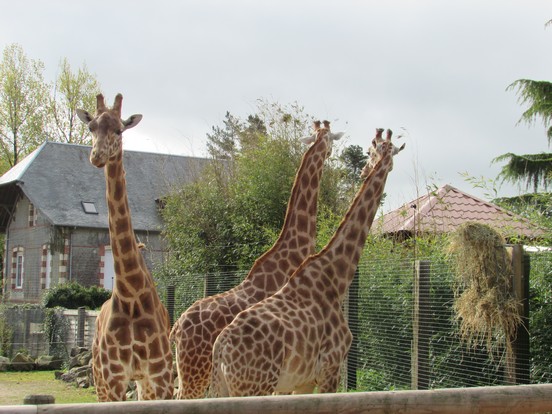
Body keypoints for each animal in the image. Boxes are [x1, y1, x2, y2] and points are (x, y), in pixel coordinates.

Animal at [76, 94, 172, 402]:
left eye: (119, 130)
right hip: (99, 378)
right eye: (91, 127)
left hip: (144, 383)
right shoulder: (113, 379)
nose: (96, 156)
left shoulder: (161, 376)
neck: (131, 296)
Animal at [170, 119, 342, 398]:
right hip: (197, 371)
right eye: (330, 139)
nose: (329, 153)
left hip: (189, 371)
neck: (291, 253)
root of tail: (176, 328)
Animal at [209, 128, 404, 396]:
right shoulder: (331, 369)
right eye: (369, 151)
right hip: (254, 386)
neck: (336, 278)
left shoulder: (302, 381)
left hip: (225, 387)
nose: (365, 170)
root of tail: (221, 349)